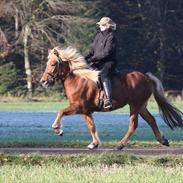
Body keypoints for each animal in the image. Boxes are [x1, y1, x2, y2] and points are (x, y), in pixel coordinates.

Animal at [40, 46, 183, 150]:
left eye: (53, 64)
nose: (43, 81)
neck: (78, 78)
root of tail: (146, 77)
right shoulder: (85, 111)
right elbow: (91, 126)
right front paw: (94, 144)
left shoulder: (78, 107)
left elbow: (61, 112)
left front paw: (58, 130)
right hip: (141, 106)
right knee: (151, 120)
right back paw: (163, 140)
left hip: (135, 105)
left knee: (133, 124)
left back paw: (120, 145)